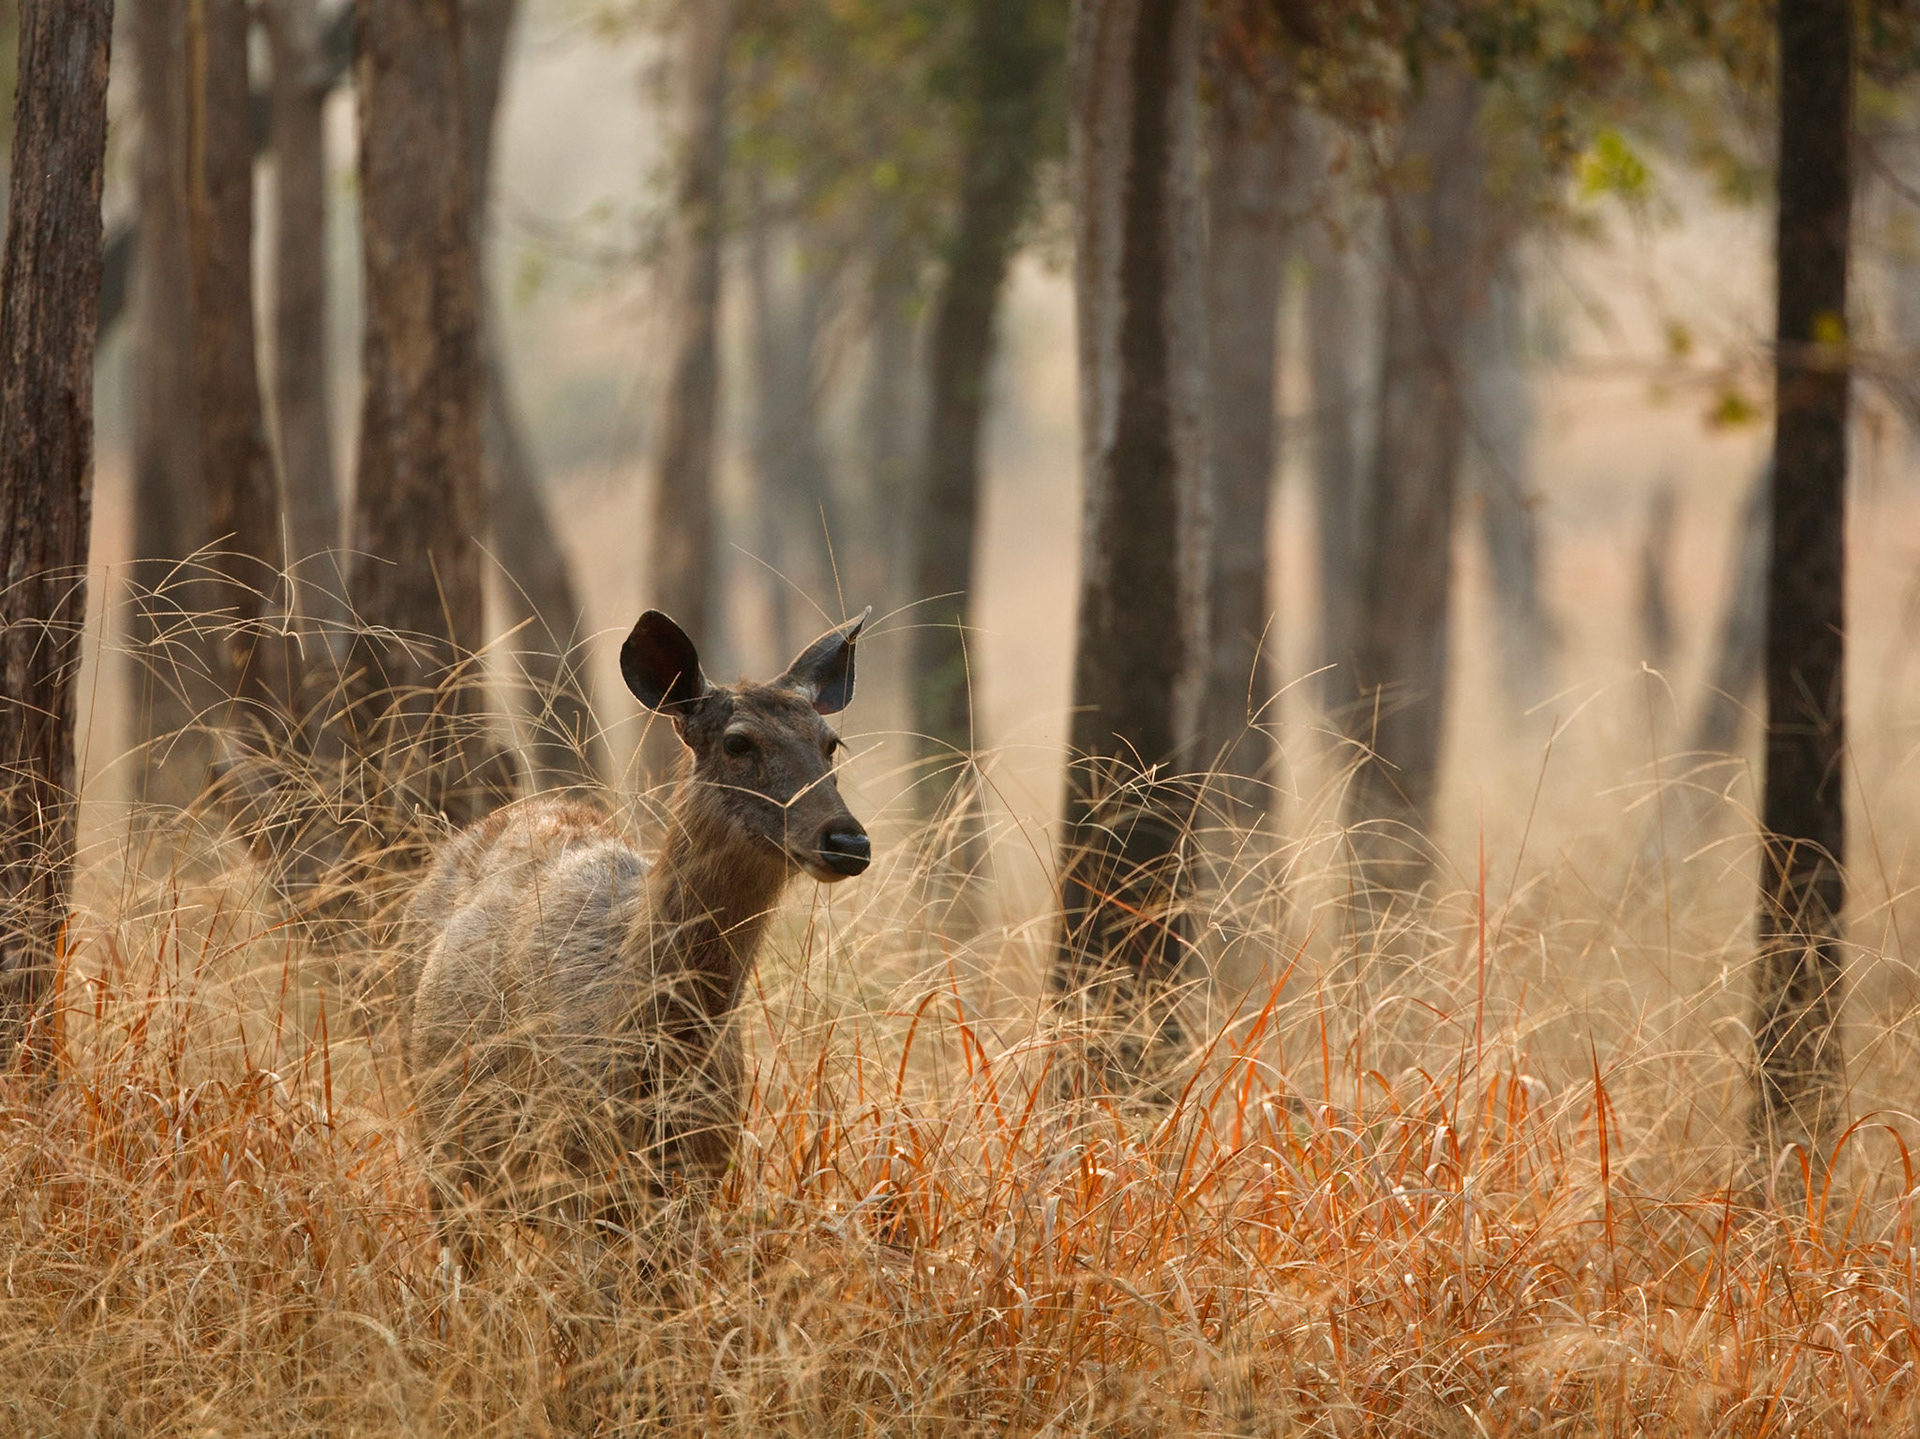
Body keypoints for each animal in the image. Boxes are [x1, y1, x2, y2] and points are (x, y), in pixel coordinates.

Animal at [403, 608, 871, 1268]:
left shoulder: (697, 1174)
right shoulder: (570, 1169)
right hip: (435, 1136)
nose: (848, 841)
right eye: (737, 742)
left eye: (831, 743)